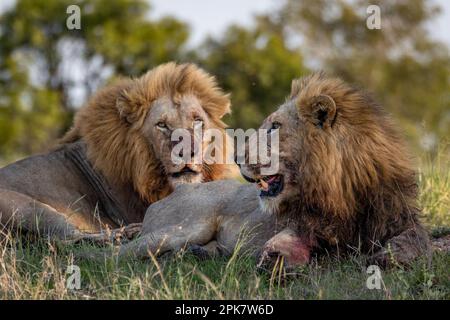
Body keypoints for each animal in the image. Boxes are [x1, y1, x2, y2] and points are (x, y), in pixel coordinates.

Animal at [0, 61, 232, 239]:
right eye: (162, 125)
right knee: (70, 238)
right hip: (29, 208)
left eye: (197, 120)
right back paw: (127, 233)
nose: (187, 152)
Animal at [118, 72, 430, 268]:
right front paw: (278, 255)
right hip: (188, 226)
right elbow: (293, 236)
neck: (343, 189)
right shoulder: (305, 222)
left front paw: (390, 256)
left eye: (275, 127)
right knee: (120, 253)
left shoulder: (397, 215)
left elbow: (418, 239)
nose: (237, 158)